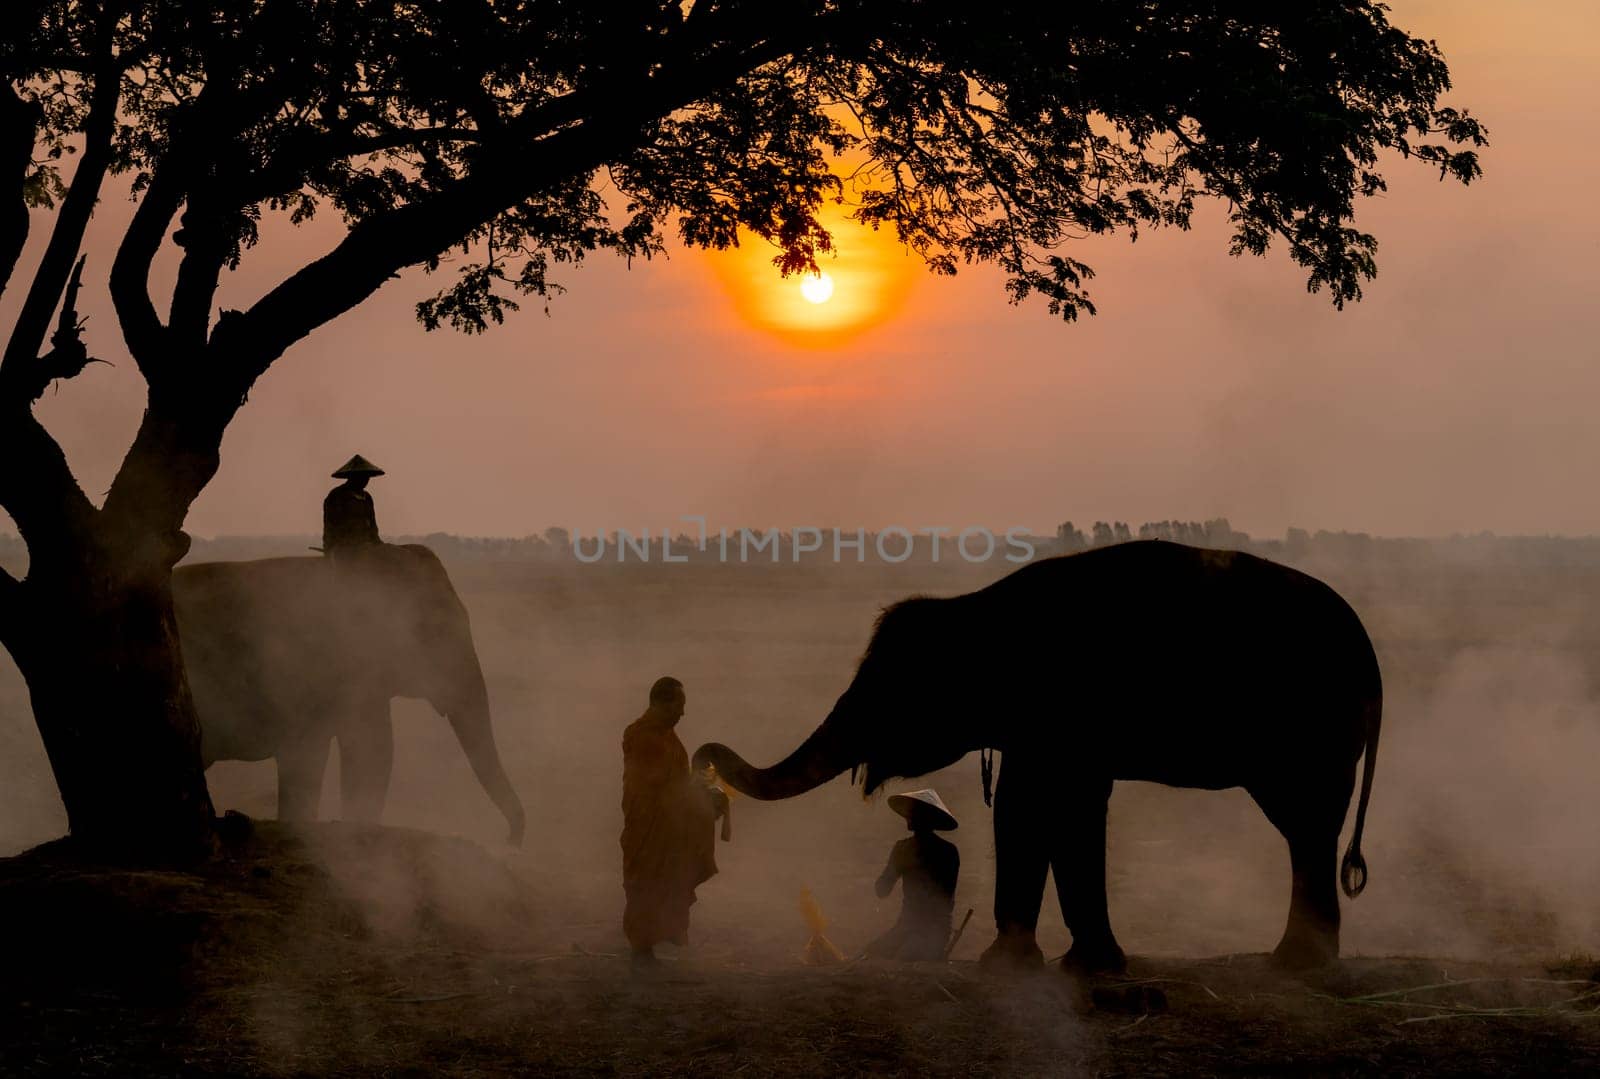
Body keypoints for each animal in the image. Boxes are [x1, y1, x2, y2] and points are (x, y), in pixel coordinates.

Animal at [694, 541, 1382, 973]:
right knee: (1307, 830)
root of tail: (1370, 654)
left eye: (890, 688)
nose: (704, 754)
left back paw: (1297, 962)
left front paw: (1035, 966)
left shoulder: (1064, 710)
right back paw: (1298, 960)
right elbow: (1039, 806)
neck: (975, 607)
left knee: (1305, 825)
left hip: (1312, 729)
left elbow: (1046, 808)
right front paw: (1061, 964)